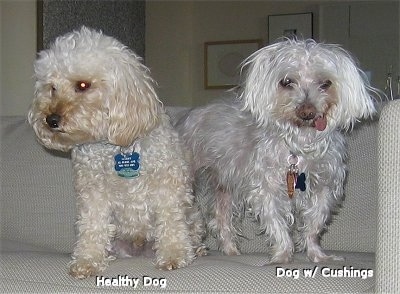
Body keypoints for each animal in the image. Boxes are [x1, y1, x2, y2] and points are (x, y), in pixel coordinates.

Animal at [27, 27, 206, 278]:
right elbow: (92, 227)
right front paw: (87, 260)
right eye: (52, 87)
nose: (50, 120)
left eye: (83, 85)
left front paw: (174, 255)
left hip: (195, 217)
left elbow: (171, 222)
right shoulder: (93, 194)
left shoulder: (168, 188)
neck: (117, 147)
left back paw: (197, 249)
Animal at [176, 38, 378, 262]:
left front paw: (317, 255)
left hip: (225, 187)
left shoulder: (324, 189)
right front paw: (282, 255)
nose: (307, 111)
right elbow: (278, 225)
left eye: (325, 83)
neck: (300, 145)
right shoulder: (267, 189)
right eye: (287, 82)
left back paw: (231, 252)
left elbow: (314, 226)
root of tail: (184, 118)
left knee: (221, 220)